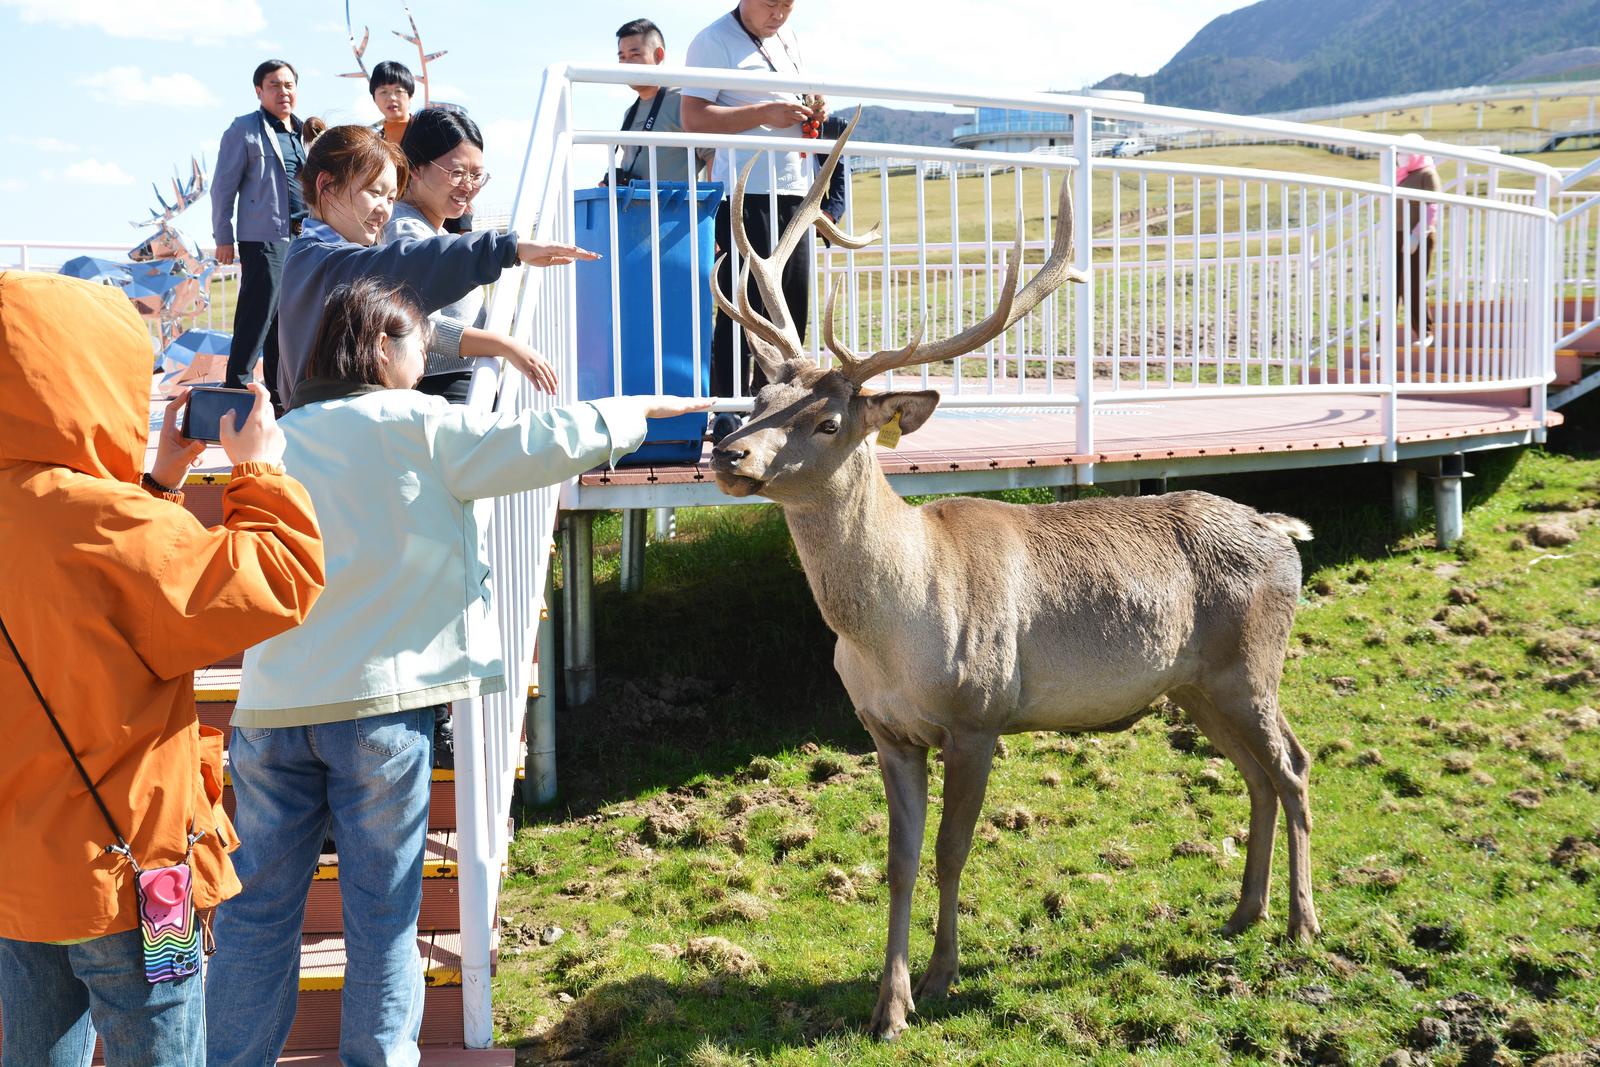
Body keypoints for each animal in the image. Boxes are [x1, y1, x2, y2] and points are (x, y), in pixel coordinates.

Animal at [708, 116, 1320, 1040]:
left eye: (828, 419)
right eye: (756, 399)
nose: (726, 454)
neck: (890, 628)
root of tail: (1285, 532)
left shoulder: (980, 711)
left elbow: (953, 850)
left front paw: (941, 976)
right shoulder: (883, 729)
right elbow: (898, 859)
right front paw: (887, 1003)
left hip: (1252, 662)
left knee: (1293, 765)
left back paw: (1303, 924)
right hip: (1196, 683)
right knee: (1258, 772)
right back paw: (1243, 911)